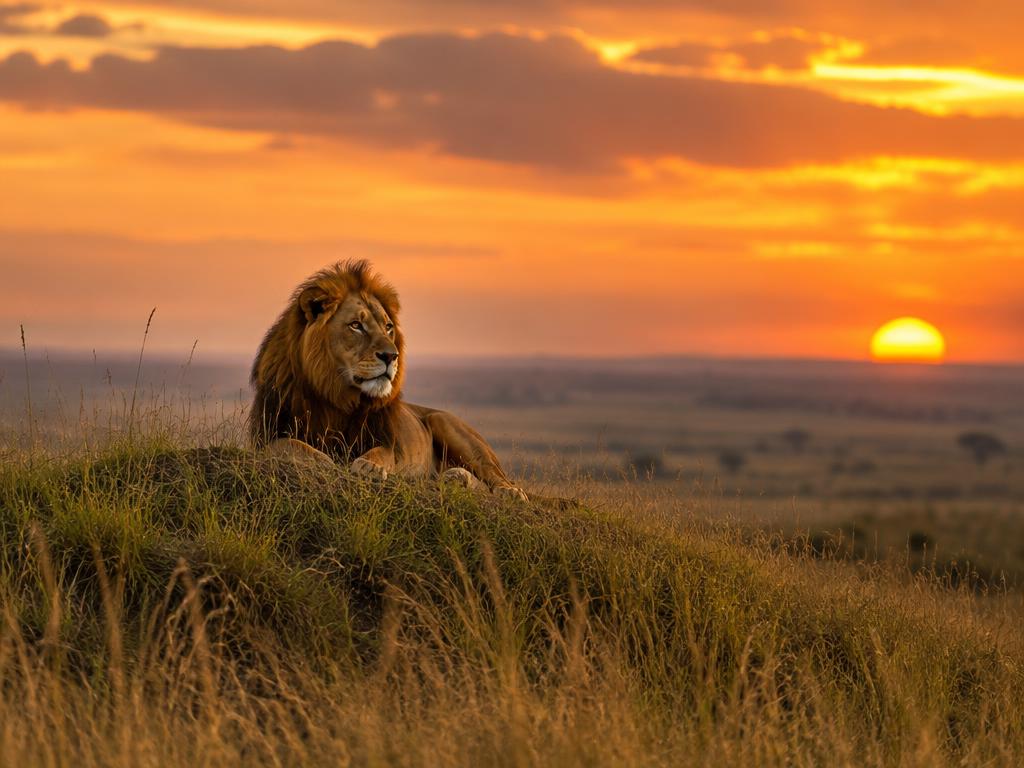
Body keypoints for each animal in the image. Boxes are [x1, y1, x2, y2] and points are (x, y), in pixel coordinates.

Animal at [250, 260, 528, 501]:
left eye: (388, 327)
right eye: (356, 325)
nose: (391, 356)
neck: (336, 395)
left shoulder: (386, 440)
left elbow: (379, 454)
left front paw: (369, 467)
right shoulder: (266, 436)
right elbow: (289, 445)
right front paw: (323, 460)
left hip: (448, 425)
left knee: (494, 475)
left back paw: (509, 492)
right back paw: (453, 478)